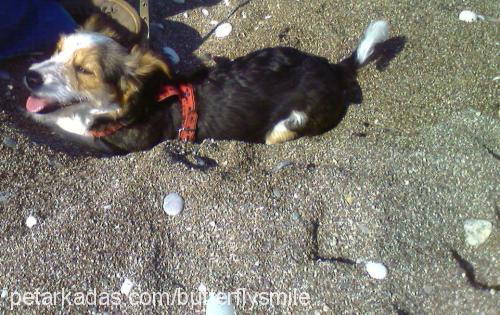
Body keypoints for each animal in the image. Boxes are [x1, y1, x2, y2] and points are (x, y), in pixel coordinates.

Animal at [23, 16, 390, 154]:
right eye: (56, 50)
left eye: (84, 70)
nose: (29, 76)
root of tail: (333, 70)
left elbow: (67, 127)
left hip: (288, 124)